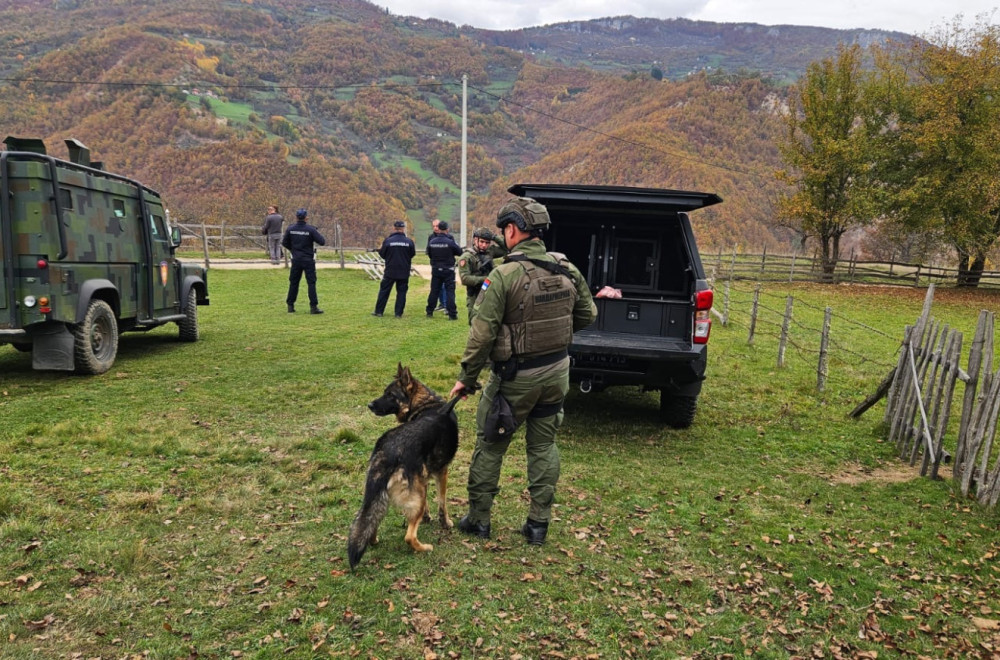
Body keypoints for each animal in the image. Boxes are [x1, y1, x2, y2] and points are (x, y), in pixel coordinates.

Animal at [348, 364, 460, 568]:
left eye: (390, 394)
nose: (369, 405)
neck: (426, 403)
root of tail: (386, 451)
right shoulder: (442, 472)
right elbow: (442, 502)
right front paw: (446, 523)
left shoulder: (425, 479)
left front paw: (427, 517)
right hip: (417, 494)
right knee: (409, 537)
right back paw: (424, 548)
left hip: (381, 495)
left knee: (371, 521)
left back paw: (373, 540)